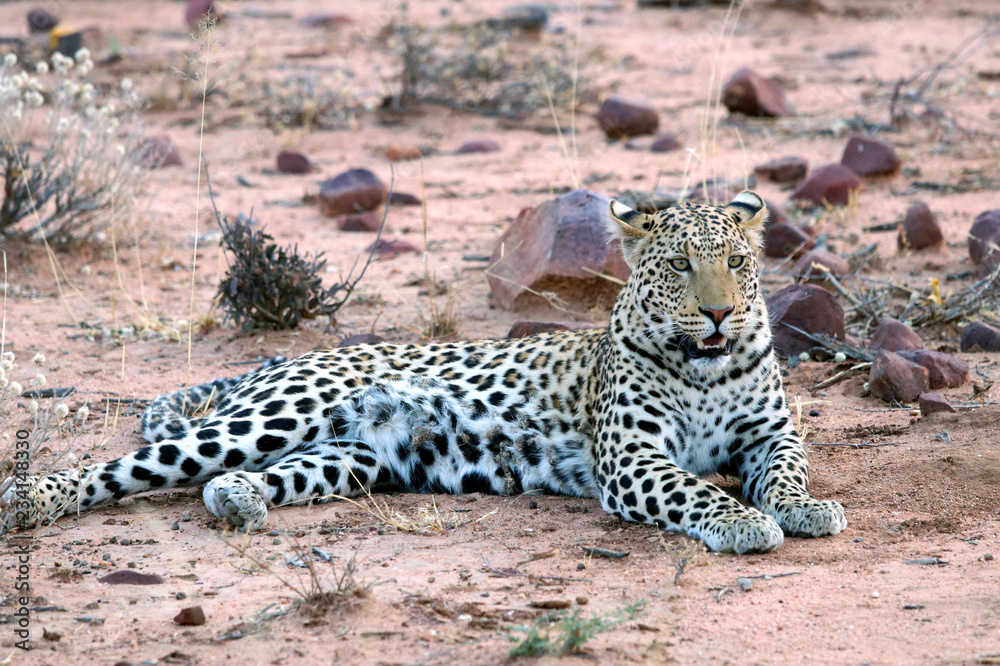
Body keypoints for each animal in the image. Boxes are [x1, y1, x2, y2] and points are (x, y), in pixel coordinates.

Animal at [0, 191, 846, 554]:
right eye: (679, 267)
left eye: (737, 262)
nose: (719, 314)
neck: (705, 367)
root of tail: (282, 359)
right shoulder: (633, 458)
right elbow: (693, 488)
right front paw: (742, 522)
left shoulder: (770, 435)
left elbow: (788, 471)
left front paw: (804, 509)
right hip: (271, 415)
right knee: (125, 465)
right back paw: (28, 500)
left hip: (347, 455)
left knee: (235, 478)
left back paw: (240, 503)